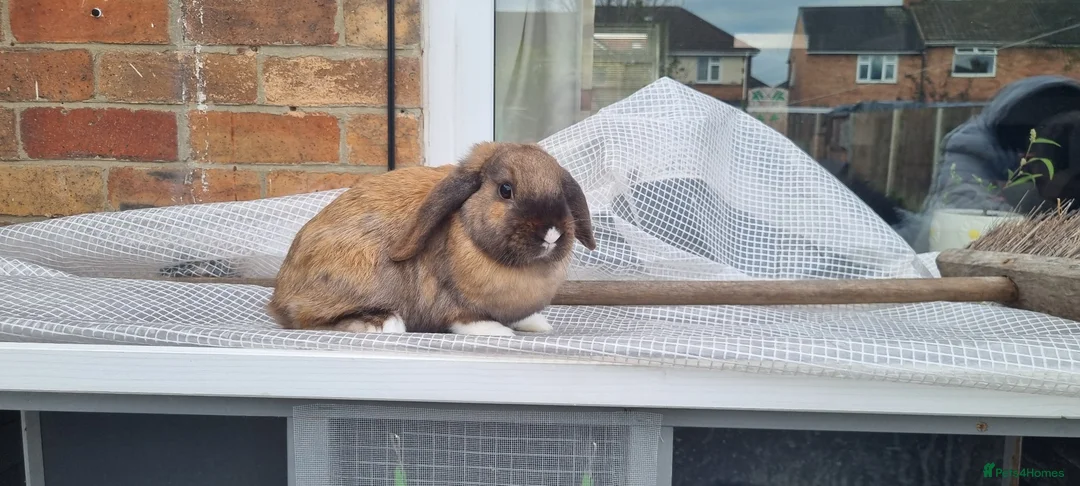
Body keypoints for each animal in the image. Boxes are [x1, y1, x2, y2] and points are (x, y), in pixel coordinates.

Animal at [267, 142, 597, 336]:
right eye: (506, 190)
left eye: (561, 192)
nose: (551, 232)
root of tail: (279, 297)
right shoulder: (450, 303)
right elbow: (466, 319)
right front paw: (497, 331)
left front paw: (537, 324)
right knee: (309, 319)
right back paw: (383, 323)